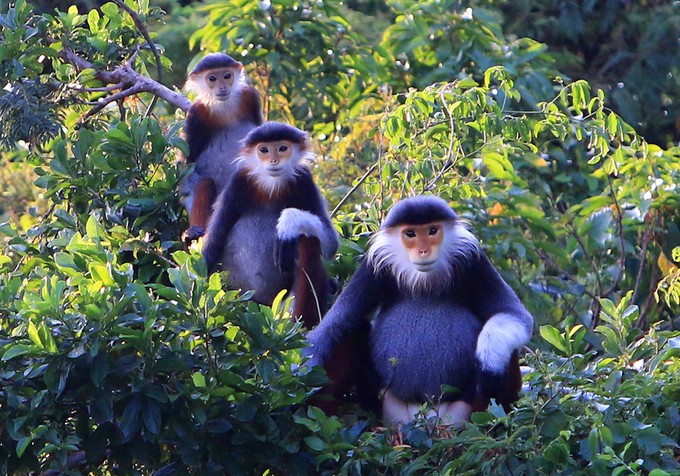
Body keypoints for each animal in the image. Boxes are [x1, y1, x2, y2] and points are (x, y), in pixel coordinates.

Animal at [179, 53, 264, 245]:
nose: (223, 87)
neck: (224, 108)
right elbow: (186, 167)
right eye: (212, 78)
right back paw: (193, 233)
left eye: (227, 75)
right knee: (204, 183)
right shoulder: (196, 114)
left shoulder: (249, 96)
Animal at [202, 121, 340, 326]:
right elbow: (213, 243)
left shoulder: (304, 181)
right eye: (264, 150)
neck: (271, 187)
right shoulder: (238, 183)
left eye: (282, 148)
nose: (273, 161)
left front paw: (288, 224)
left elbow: (331, 244)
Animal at [306, 195, 532, 426]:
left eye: (432, 231)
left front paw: (490, 362)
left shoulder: (474, 262)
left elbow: (516, 315)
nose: (423, 251)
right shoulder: (372, 268)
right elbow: (336, 322)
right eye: (410, 234)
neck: (425, 282)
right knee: (350, 328)